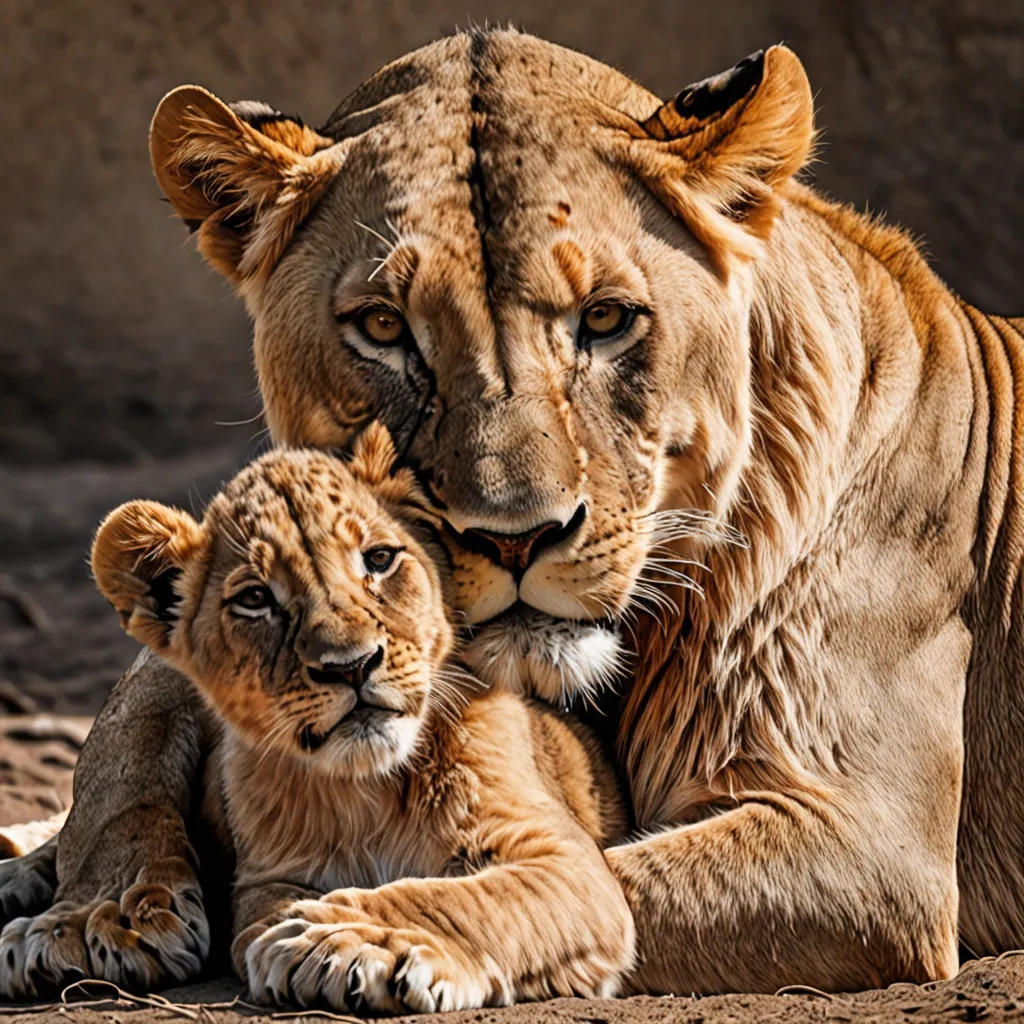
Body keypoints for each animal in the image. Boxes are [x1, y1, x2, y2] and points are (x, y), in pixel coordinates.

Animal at [0, 426, 633, 1008]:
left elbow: (460, 898)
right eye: (255, 598)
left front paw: (352, 938)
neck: (370, 790)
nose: (350, 665)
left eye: (379, 559)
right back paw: (73, 912)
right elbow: (269, 912)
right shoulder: (268, 878)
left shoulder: (563, 859)